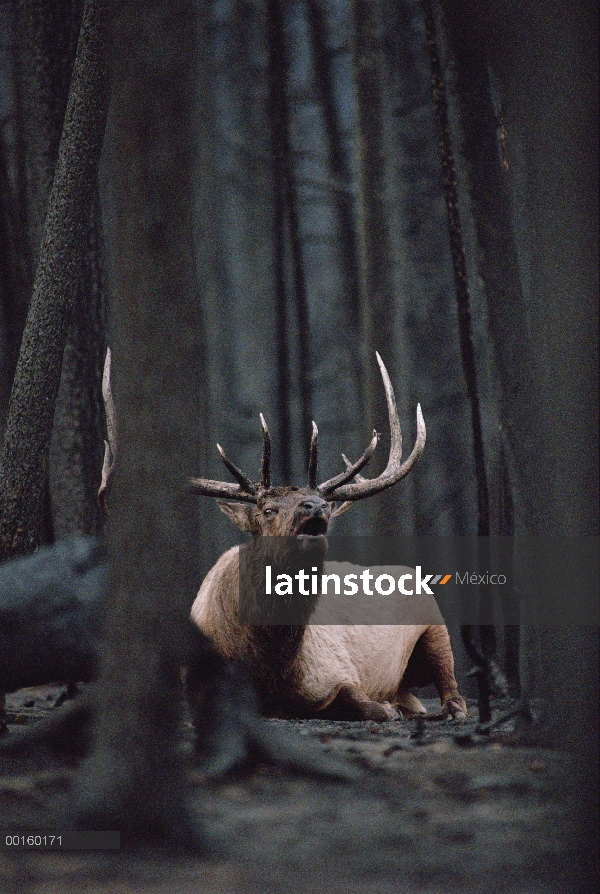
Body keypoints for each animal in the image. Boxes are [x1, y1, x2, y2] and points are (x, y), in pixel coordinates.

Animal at [190, 354, 466, 724]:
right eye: (268, 509)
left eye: (324, 506)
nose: (317, 506)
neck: (267, 668)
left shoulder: (335, 671)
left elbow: (362, 703)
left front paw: (386, 708)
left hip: (434, 619)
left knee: (450, 684)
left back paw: (446, 709)